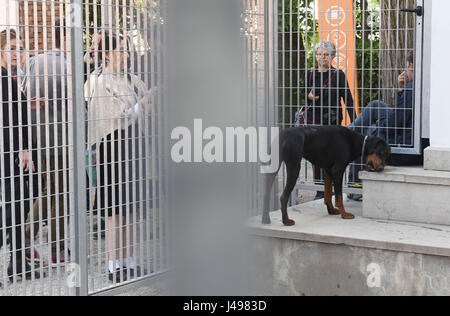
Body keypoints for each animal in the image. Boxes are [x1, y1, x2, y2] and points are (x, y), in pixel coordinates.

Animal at [262, 124, 392, 226]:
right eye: (380, 151)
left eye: (387, 155)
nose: (381, 168)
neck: (353, 141)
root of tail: (283, 135)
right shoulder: (337, 170)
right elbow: (339, 196)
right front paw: (344, 214)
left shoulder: (328, 170)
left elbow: (328, 194)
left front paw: (331, 210)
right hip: (294, 167)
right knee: (283, 197)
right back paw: (286, 221)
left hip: (273, 168)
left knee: (266, 194)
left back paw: (265, 219)